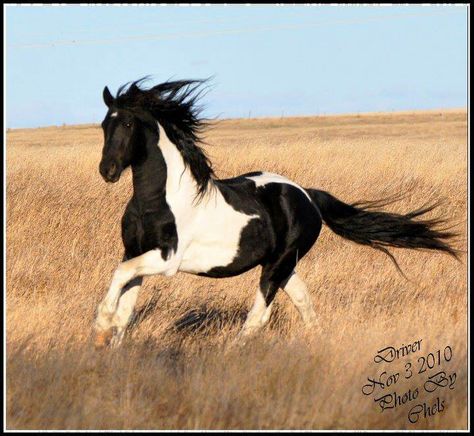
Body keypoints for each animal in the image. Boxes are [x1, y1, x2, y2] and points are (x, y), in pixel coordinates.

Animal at [93, 78, 460, 350]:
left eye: (128, 122)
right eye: (103, 125)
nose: (107, 171)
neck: (160, 200)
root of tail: (307, 196)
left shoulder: (167, 259)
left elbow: (119, 278)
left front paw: (100, 324)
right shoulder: (136, 251)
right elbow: (125, 302)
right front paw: (110, 344)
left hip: (277, 265)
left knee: (259, 317)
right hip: (283, 265)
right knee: (304, 302)